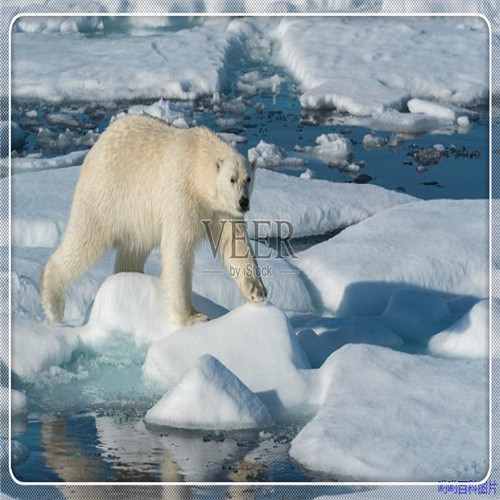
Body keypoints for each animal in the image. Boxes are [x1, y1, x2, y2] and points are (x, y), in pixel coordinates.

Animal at [41, 115, 268, 330]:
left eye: (248, 178)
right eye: (231, 179)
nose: (243, 202)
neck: (197, 164)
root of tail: (97, 145)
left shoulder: (222, 210)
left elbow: (234, 243)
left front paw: (257, 291)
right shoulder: (182, 196)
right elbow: (178, 250)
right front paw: (192, 317)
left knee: (132, 251)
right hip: (104, 195)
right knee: (84, 240)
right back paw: (53, 305)